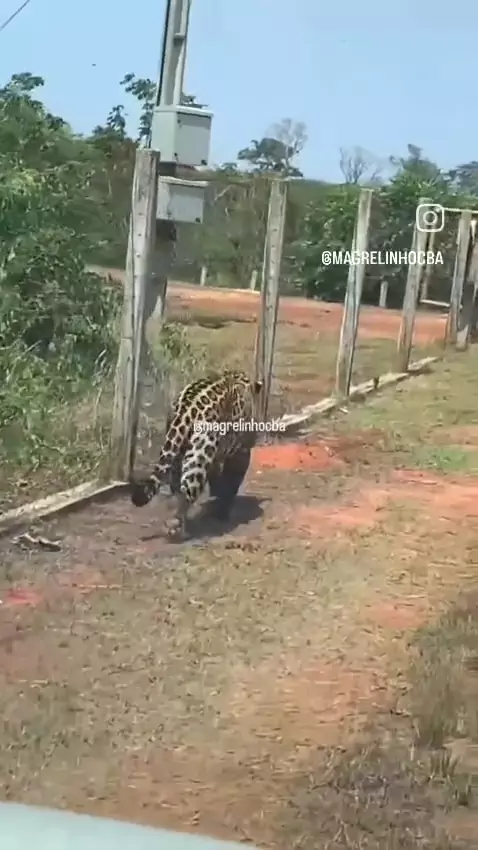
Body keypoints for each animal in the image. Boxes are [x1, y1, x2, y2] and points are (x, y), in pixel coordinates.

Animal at [129, 370, 263, 539]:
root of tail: (184, 410)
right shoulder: (241, 452)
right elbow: (231, 484)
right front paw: (222, 511)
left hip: (177, 452)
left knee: (177, 492)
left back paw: (180, 526)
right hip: (198, 455)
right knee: (187, 492)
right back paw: (174, 528)